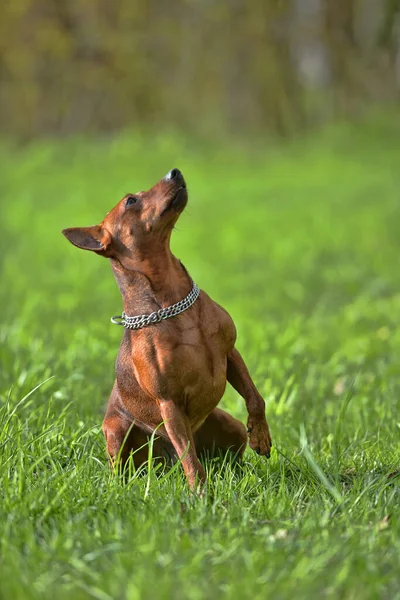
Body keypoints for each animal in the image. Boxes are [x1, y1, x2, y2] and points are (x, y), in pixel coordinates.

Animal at [62, 168, 272, 488]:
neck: (171, 299)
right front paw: (201, 493)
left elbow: (255, 396)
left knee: (227, 457)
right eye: (131, 201)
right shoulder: (168, 402)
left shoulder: (231, 353)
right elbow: (189, 458)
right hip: (116, 431)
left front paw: (261, 435)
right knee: (134, 465)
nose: (174, 171)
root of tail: (162, 462)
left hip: (229, 426)